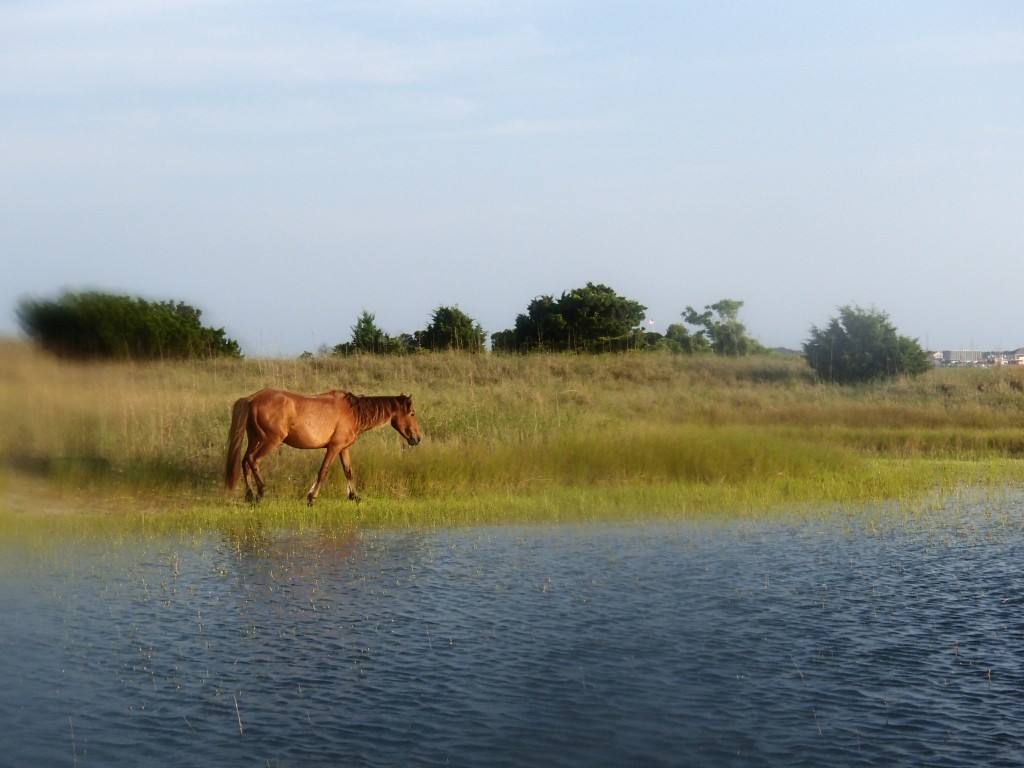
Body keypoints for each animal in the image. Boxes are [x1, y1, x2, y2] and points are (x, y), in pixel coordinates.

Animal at [224, 391, 419, 505]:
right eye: (412, 413)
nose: (417, 438)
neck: (354, 411)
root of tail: (251, 399)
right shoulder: (333, 448)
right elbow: (323, 472)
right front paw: (312, 497)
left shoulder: (343, 448)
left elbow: (349, 471)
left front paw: (355, 496)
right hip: (270, 440)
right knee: (253, 460)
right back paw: (261, 492)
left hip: (255, 439)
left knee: (245, 462)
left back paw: (250, 495)